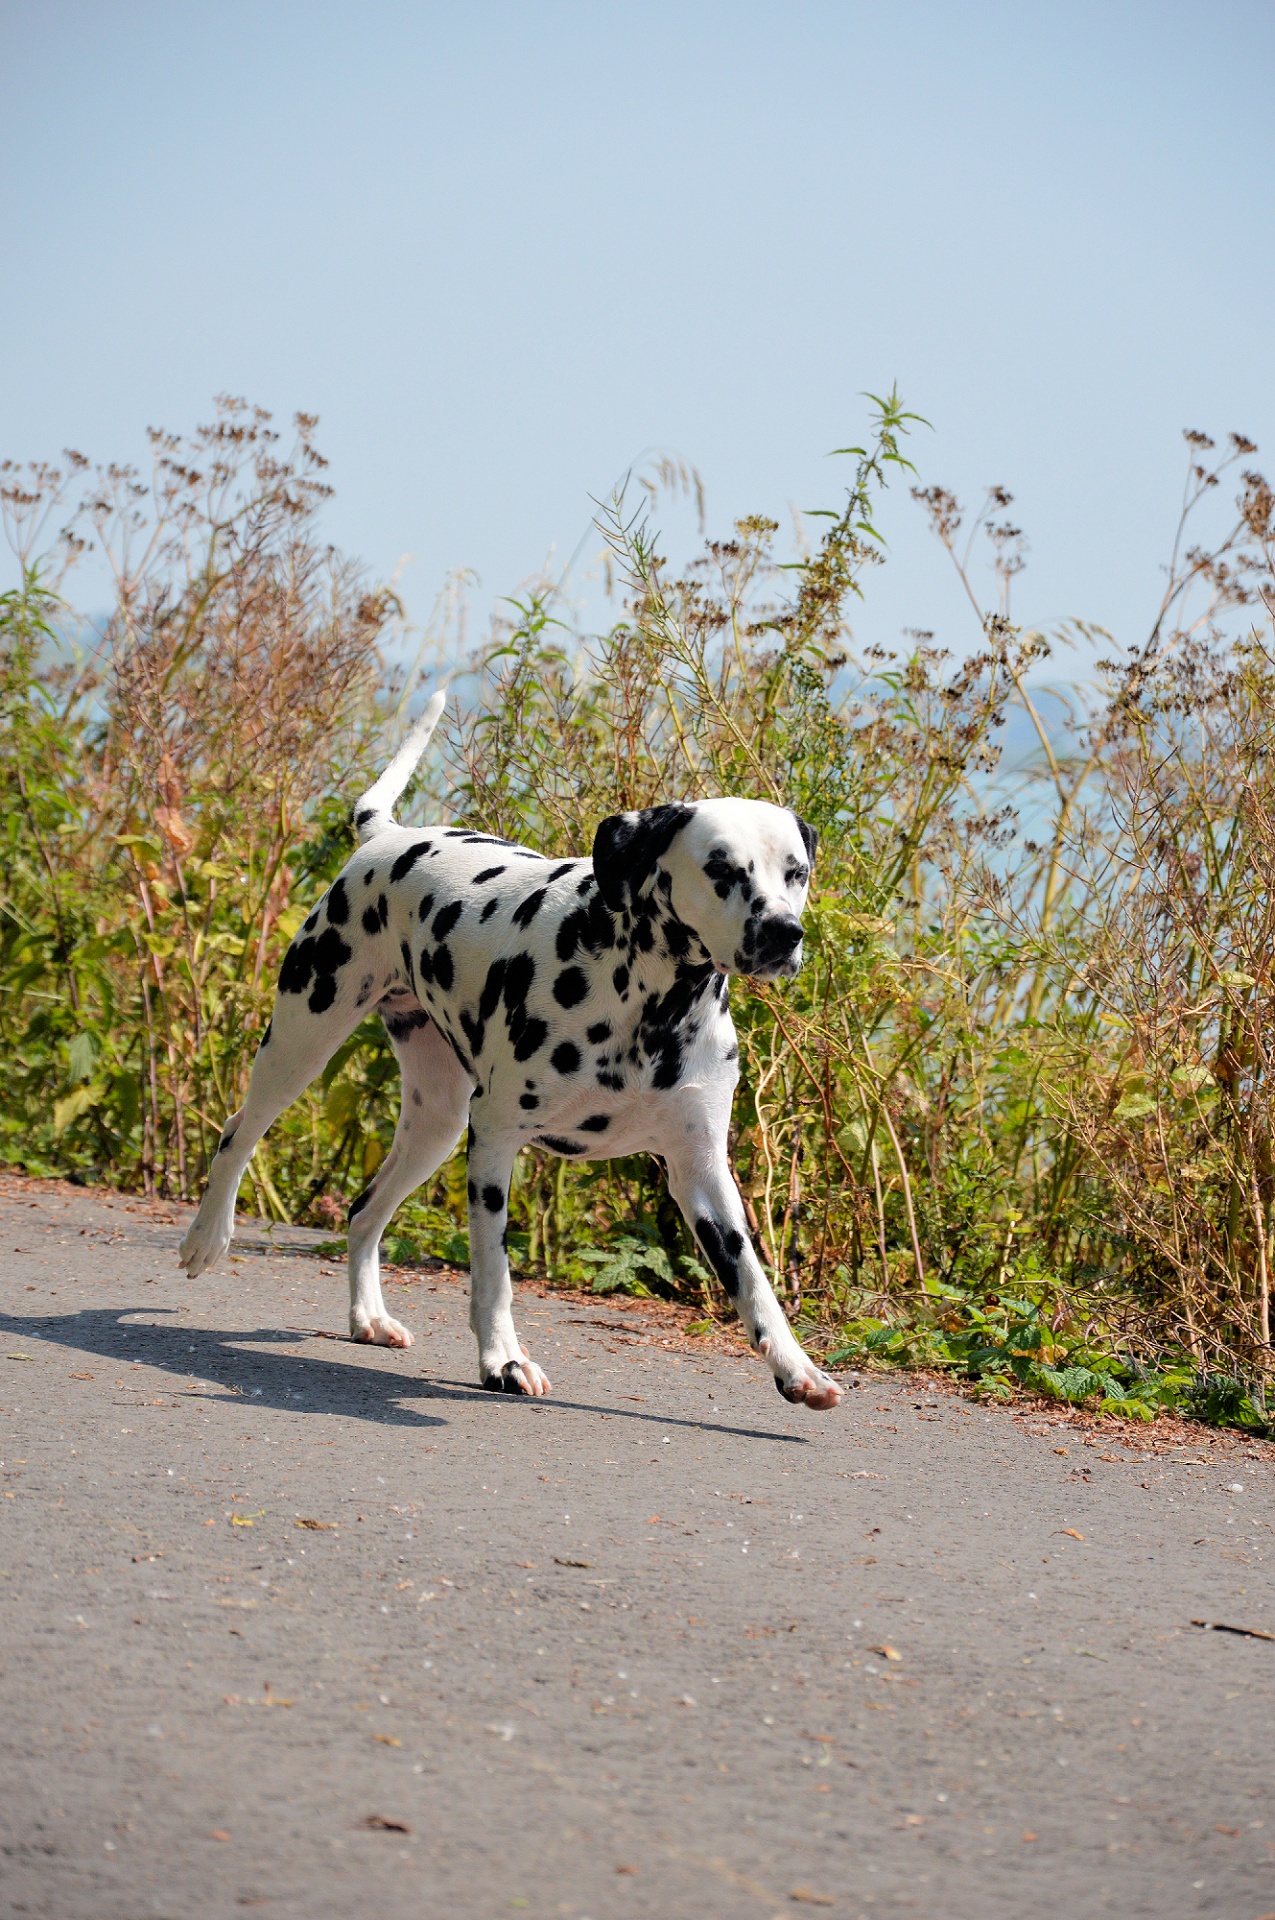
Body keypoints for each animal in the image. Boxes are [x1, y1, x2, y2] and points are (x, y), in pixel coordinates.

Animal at [174, 698, 841, 1420]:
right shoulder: (494, 1142)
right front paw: (503, 1360)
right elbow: (493, 1272)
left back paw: (368, 1317)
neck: (650, 1007)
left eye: (796, 872)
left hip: (435, 1124)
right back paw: (207, 1237)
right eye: (720, 870)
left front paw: (797, 1369)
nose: (783, 932)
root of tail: (388, 835)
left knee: (363, 1212)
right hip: (302, 1044)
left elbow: (753, 1284)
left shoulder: (702, 1172)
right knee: (238, 1132)